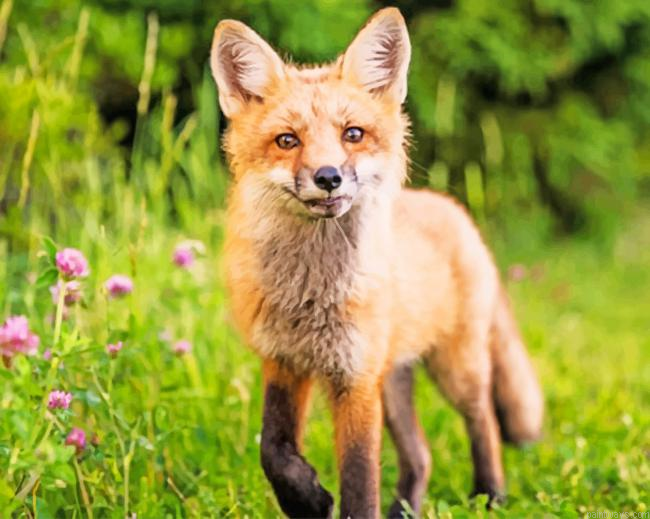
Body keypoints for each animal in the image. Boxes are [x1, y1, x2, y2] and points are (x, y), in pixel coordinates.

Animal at [210, 7, 543, 519]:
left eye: (353, 134)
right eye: (287, 140)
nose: (328, 177)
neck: (312, 296)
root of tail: (451, 208)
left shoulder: (356, 377)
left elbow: (359, 478)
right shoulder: (284, 361)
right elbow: (274, 450)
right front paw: (307, 499)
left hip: (456, 369)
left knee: (483, 419)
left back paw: (491, 494)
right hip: (394, 381)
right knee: (421, 455)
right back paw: (406, 508)